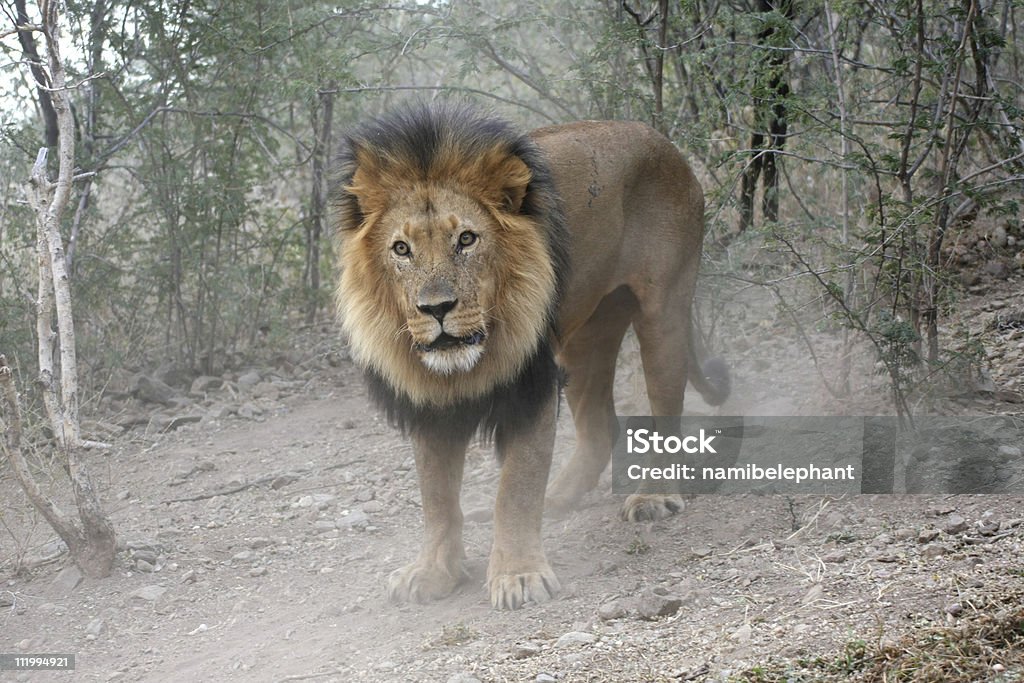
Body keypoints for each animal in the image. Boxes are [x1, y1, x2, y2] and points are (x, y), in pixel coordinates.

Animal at [329, 102, 729, 610]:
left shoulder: (531, 386)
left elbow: (516, 487)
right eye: (401, 249)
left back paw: (653, 497)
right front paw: (433, 571)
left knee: (665, 413)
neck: (467, 363)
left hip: (664, 314)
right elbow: (436, 495)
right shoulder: (429, 401)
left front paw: (518, 575)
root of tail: (659, 138)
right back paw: (558, 499)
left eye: (467, 239)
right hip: (584, 338)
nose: (436, 308)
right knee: (600, 427)